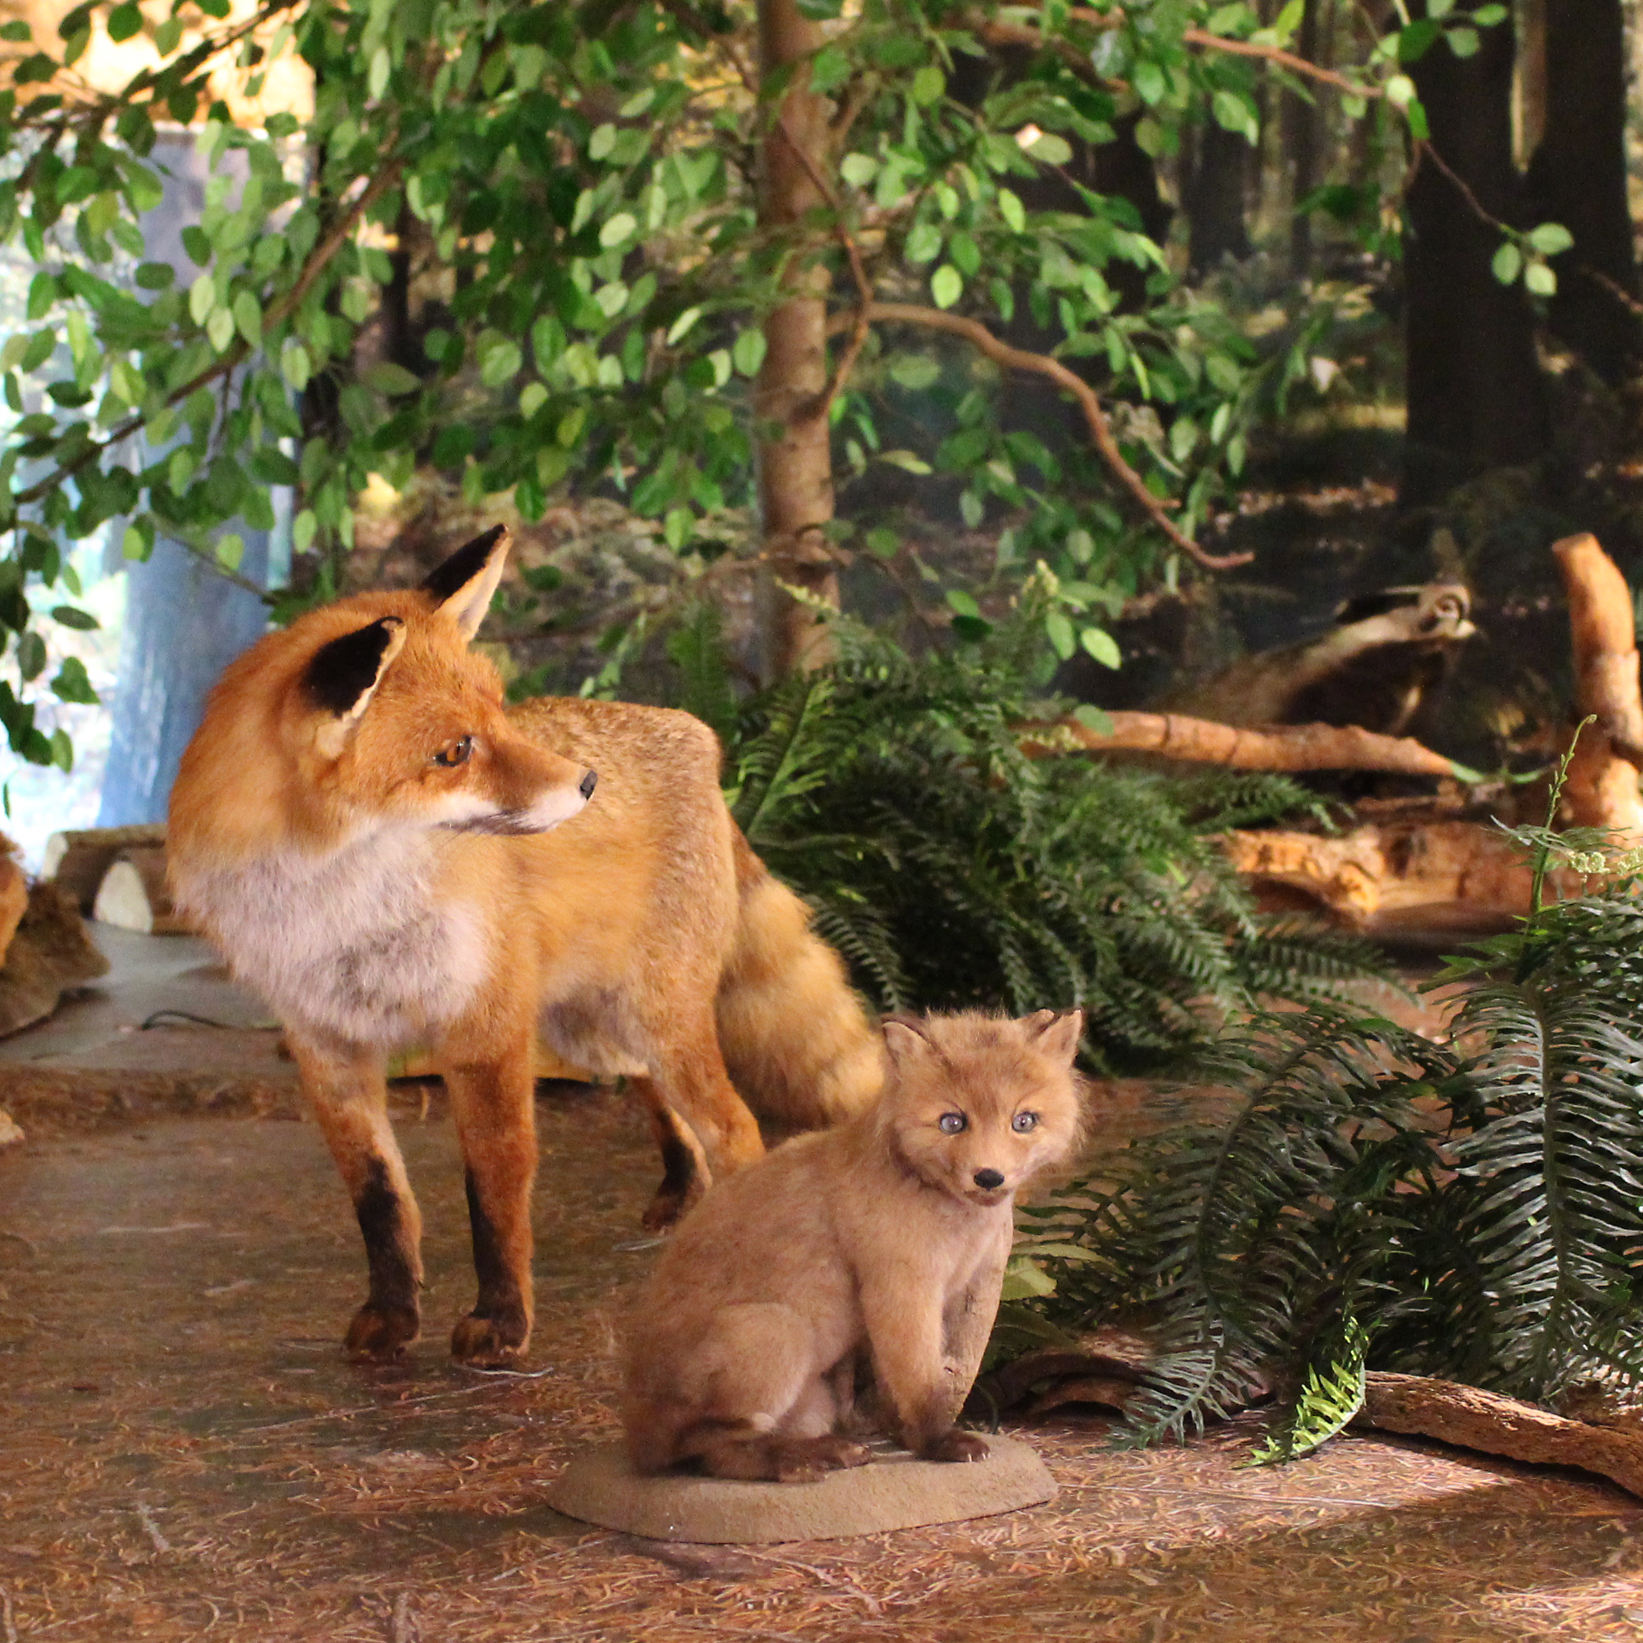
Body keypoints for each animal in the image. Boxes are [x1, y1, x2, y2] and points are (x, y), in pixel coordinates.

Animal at [168, 522, 887, 1360]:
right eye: (453, 751)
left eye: (501, 711)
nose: (587, 784)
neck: (342, 909)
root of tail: (698, 739)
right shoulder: (327, 1047)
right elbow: (380, 1200)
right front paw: (393, 1316)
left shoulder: (483, 1031)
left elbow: (494, 1190)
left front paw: (501, 1321)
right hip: (591, 1030)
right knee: (667, 1109)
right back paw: (683, 1198)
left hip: (652, 1020)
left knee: (735, 1128)